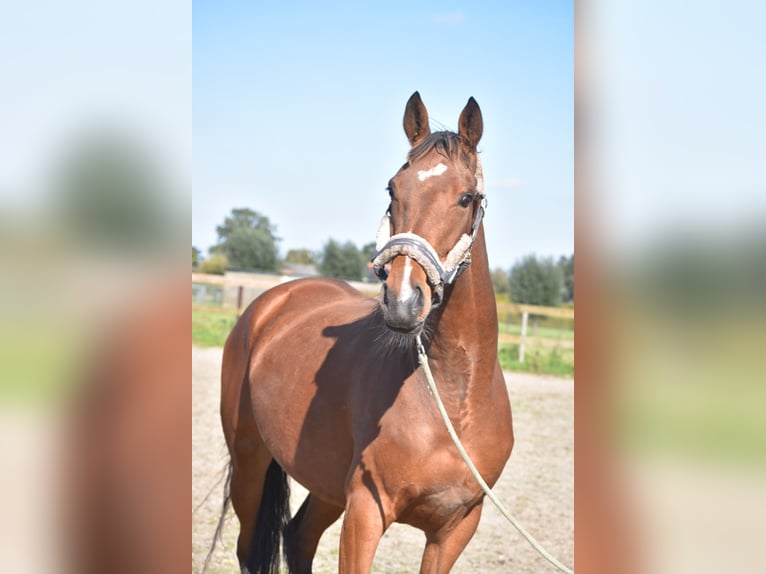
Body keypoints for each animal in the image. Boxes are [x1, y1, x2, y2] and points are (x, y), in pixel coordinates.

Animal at [219, 92, 512, 572]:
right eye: (393, 188)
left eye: (466, 197)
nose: (402, 299)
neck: (451, 403)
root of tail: (272, 302)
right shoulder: (365, 512)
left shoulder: (455, 529)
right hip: (249, 461)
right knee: (250, 547)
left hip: (324, 483)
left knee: (298, 537)